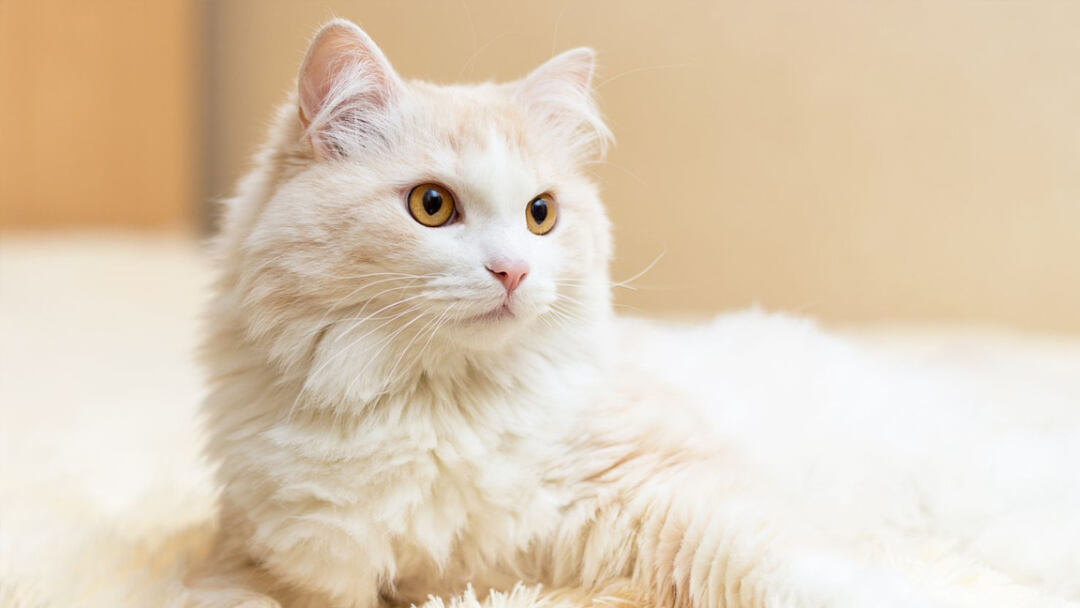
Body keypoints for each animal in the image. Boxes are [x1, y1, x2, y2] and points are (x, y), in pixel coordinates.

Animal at [181, 17, 1075, 608]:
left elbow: (806, 573)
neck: (440, 408)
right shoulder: (275, 565)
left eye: (542, 215)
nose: (513, 270)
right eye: (432, 206)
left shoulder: (671, 493)